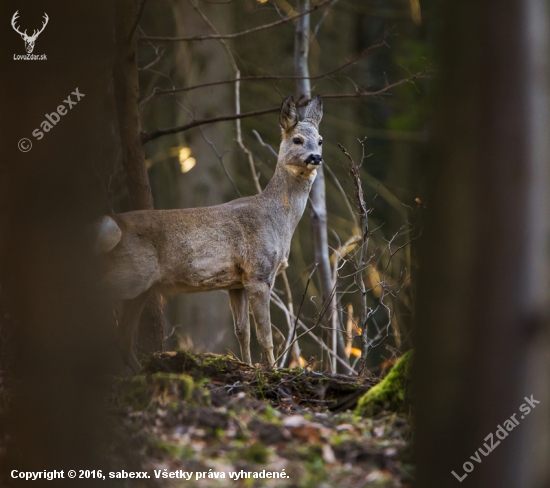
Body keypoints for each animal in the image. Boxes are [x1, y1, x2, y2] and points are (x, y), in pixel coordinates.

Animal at [97, 95, 324, 374]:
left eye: (320, 140)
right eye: (297, 140)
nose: (316, 157)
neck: (278, 220)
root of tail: (114, 226)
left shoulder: (236, 282)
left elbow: (242, 332)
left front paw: (246, 366)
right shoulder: (259, 273)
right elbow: (265, 335)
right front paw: (272, 370)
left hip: (139, 287)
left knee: (124, 339)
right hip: (130, 275)